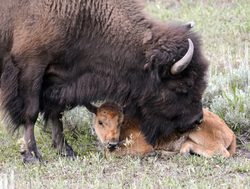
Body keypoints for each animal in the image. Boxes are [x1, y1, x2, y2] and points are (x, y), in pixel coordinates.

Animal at [0, 0, 208, 162]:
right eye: (183, 86)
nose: (197, 119)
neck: (82, 17)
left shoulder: (61, 78)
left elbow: (55, 112)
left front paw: (66, 151)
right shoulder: (32, 66)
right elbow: (31, 113)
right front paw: (32, 156)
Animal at [89, 102, 236, 157]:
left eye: (120, 122)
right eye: (100, 122)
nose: (112, 143)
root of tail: (231, 132)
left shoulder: (142, 145)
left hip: (198, 132)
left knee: (222, 152)